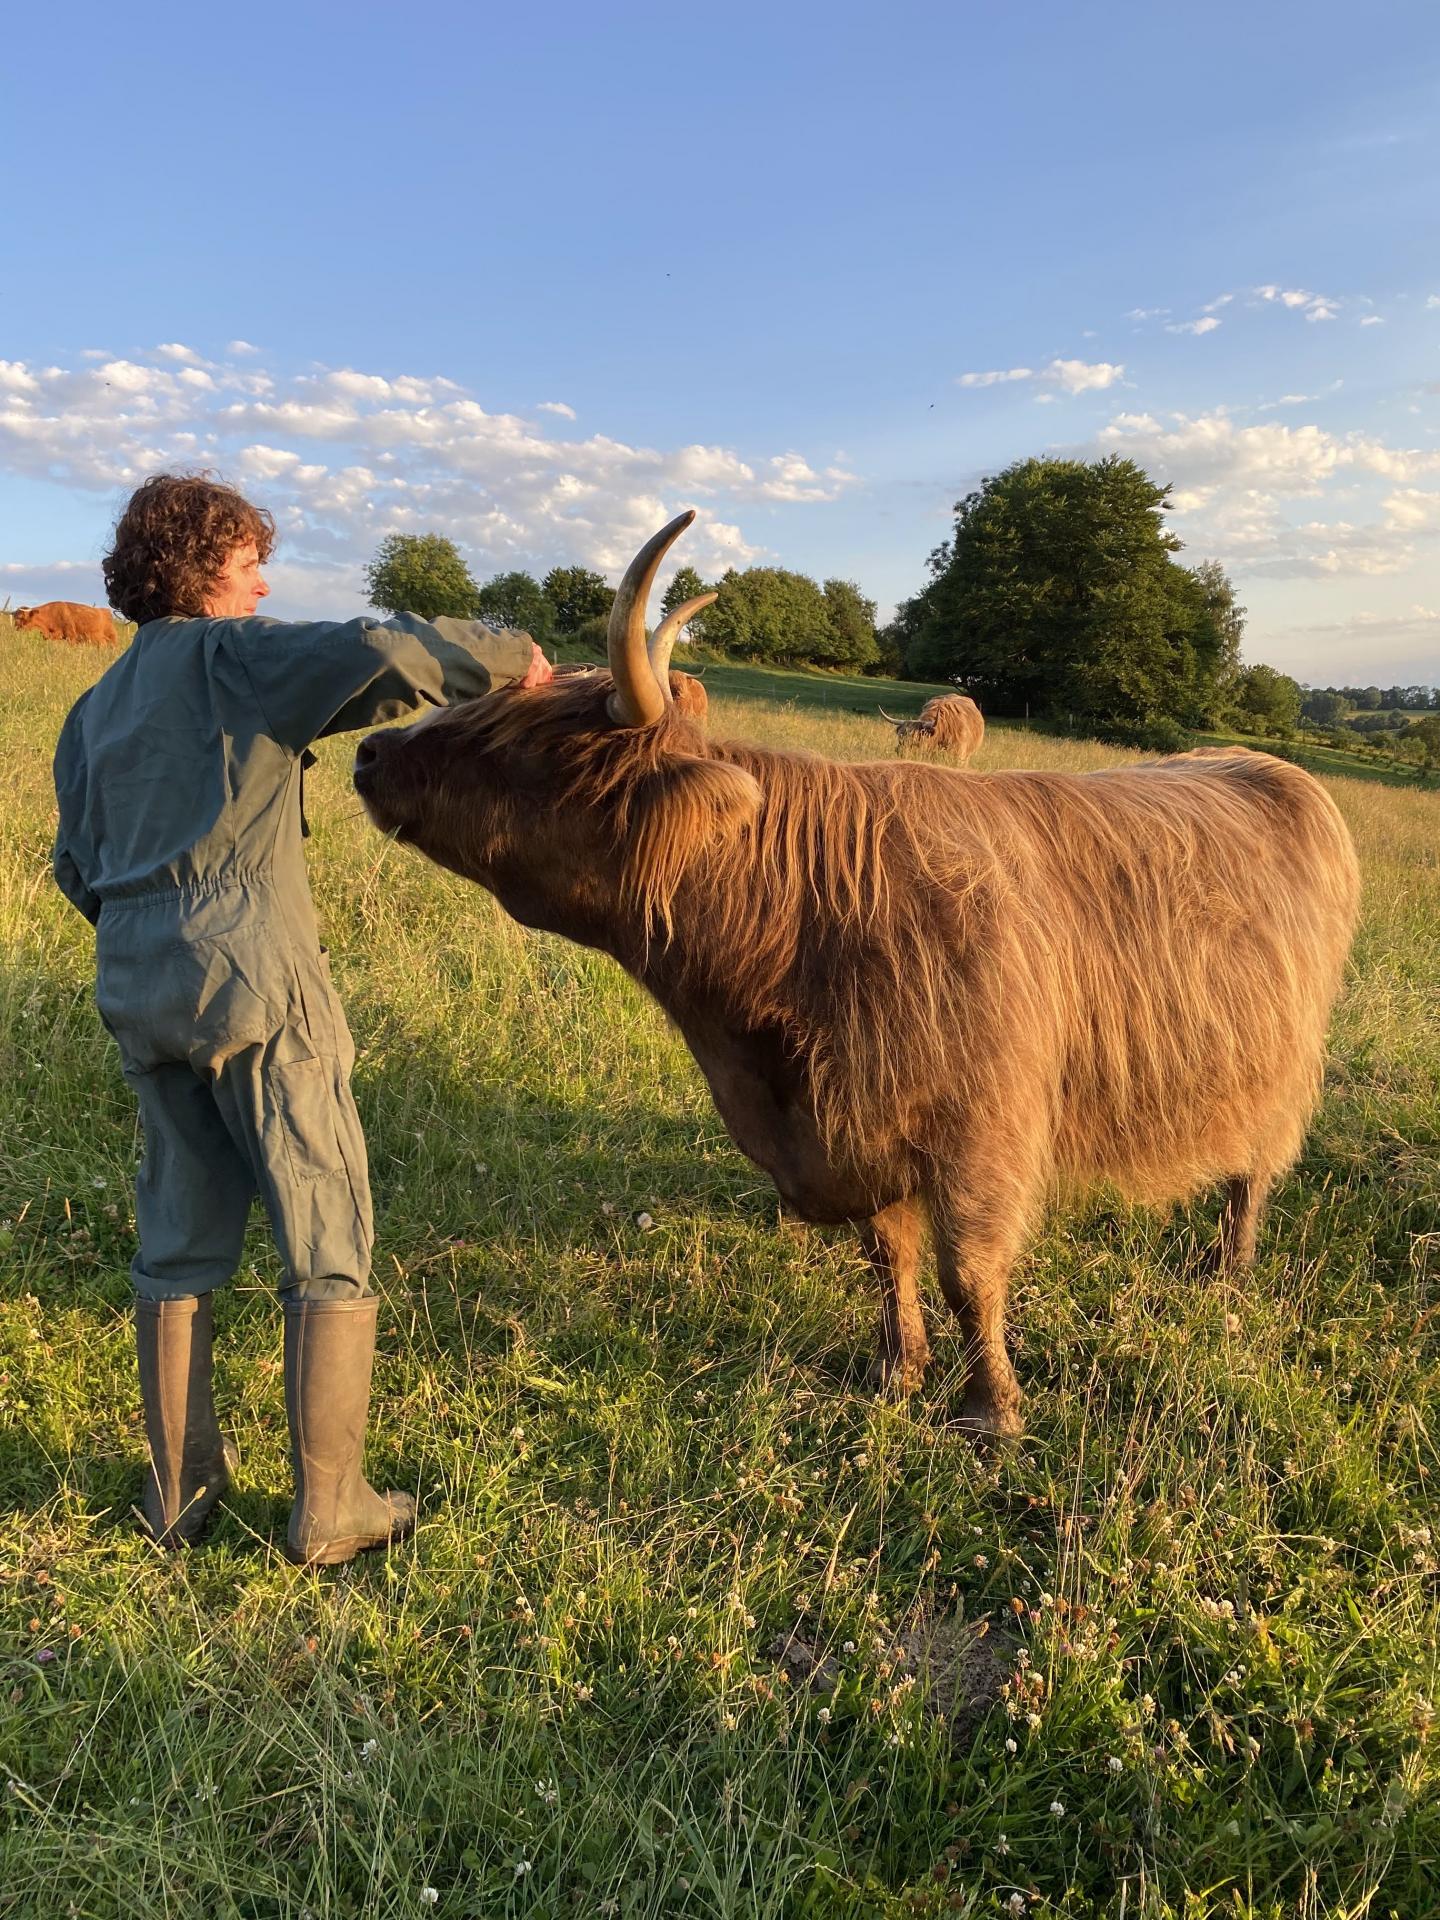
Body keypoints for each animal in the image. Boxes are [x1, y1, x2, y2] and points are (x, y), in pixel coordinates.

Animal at [353, 510, 1367, 1443]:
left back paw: (1227, 1269)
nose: (368, 752)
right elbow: (888, 1256)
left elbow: (970, 1275)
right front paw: (896, 1370)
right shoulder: (857, 1124)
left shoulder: (981, 1129)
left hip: (1279, 1063)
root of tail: (1263, 763)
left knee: (1254, 1168)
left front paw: (991, 1410)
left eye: (523, 747)